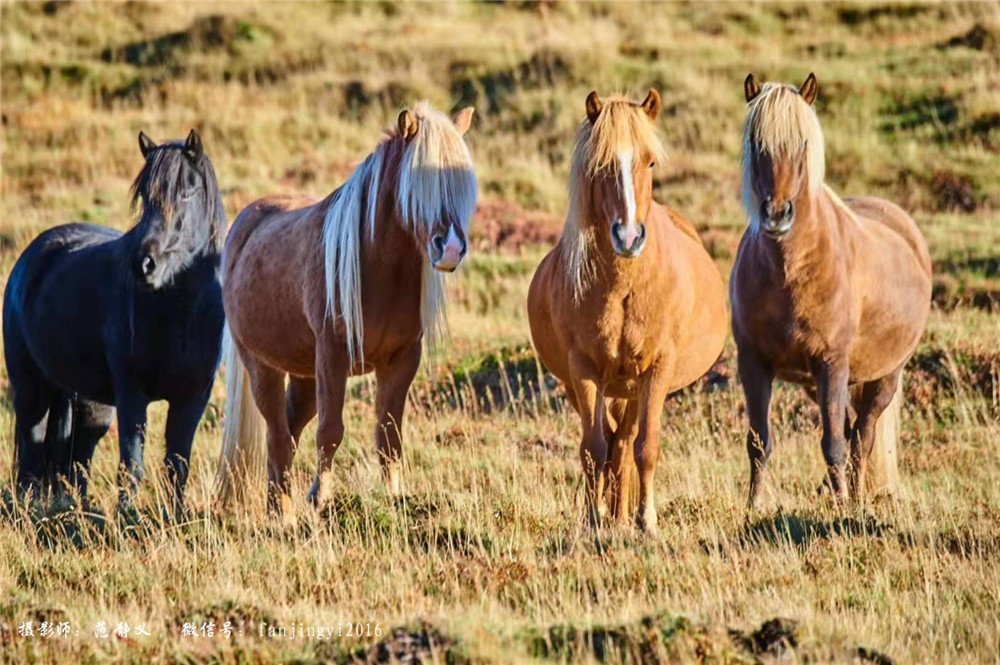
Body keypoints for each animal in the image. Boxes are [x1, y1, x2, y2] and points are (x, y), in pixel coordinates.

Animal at [2, 130, 226, 512]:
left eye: (187, 191)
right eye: (145, 197)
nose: (144, 264)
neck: (181, 318)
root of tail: (31, 256)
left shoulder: (193, 398)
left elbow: (177, 464)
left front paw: (176, 516)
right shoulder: (132, 395)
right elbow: (132, 464)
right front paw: (130, 515)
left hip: (90, 403)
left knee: (78, 460)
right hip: (32, 390)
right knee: (31, 455)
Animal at [214, 104, 476, 508]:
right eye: (417, 185)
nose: (449, 248)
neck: (377, 268)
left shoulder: (403, 358)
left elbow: (390, 435)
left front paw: (394, 497)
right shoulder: (333, 354)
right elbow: (331, 430)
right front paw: (320, 497)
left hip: (303, 373)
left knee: (288, 431)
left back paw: (276, 505)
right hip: (262, 366)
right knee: (277, 434)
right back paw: (285, 510)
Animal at [532, 89, 728, 536]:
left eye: (650, 161)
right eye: (600, 165)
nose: (628, 236)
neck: (624, 287)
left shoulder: (656, 368)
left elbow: (645, 447)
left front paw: (646, 521)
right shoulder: (584, 369)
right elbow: (593, 447)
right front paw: (594, 518)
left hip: (637, 386)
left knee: (625, 443)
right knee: (611, 443)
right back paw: (611, 513)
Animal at [732, 74, 932, 508]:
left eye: (803, 144)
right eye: (757, 144)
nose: (777, 214)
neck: (789, 272)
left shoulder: (832, 362)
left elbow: (835, 443)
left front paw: (841, 504)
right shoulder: (753, 362)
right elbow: (758, 442)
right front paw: (753, 505)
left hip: (883, 376)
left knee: (863, 435)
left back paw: (853, 497)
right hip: (819, 382)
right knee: (852, 430)